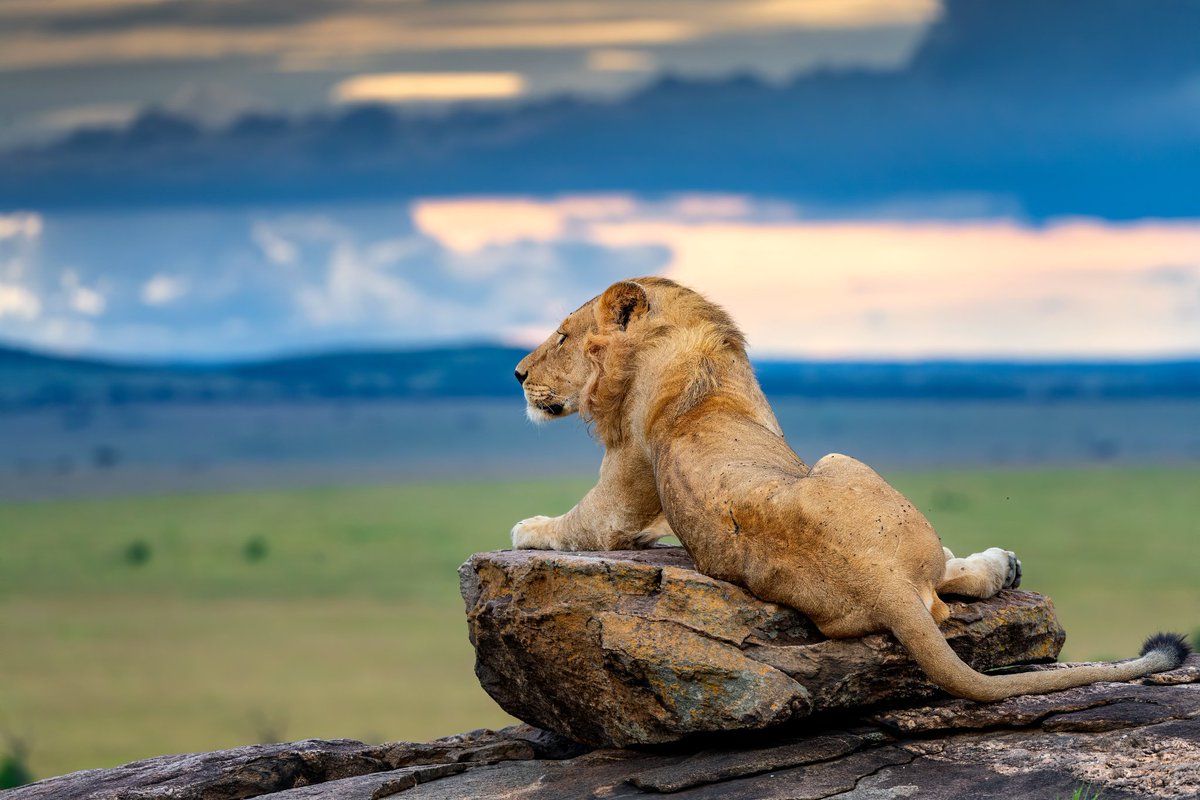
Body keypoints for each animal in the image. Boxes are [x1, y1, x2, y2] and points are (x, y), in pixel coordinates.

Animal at [510, 277, 1188, 702]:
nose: (516, 373)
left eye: (563, 338)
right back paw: (1003, 566)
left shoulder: (628, 472)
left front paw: (527, 527)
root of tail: (880, 581)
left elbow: (584, 523)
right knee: (946, 587)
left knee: (946, 582)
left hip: (838, 461)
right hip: (847, 468)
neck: (674, 343)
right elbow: (592, 524)